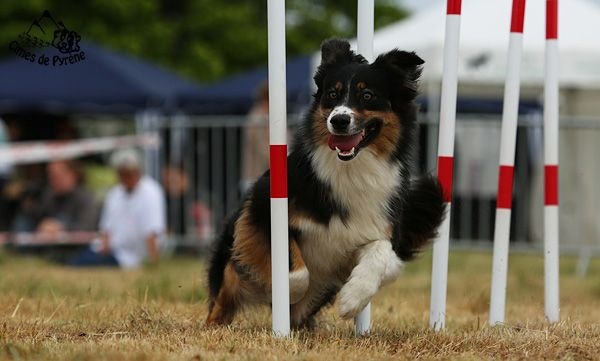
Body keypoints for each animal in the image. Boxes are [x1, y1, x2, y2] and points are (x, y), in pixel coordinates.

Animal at [206, 38, 446, 328]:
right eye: (332, 94)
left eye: (368, 96)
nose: (339, 120)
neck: (351, 168)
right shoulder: (261, 208)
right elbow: (297, 273)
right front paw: (280, 287)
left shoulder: (383, 231)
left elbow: (380, 254)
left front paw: (353, 298)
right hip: (232, 265)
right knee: (223, 299)